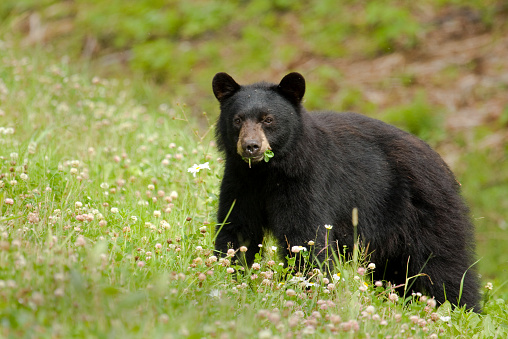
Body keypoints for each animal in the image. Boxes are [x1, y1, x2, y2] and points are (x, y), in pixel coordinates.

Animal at [213, 72, 480, 314]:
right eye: (237, 120)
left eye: (268, 119)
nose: (251, 146)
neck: (267, 172)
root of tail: (443, 164)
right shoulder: (239, 182)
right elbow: (236, 229)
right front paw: (227, 277)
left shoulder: (308, 182)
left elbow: (306, 237)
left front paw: (309, 292)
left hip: (428, 212)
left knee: (445, 267)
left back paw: (462, 310)